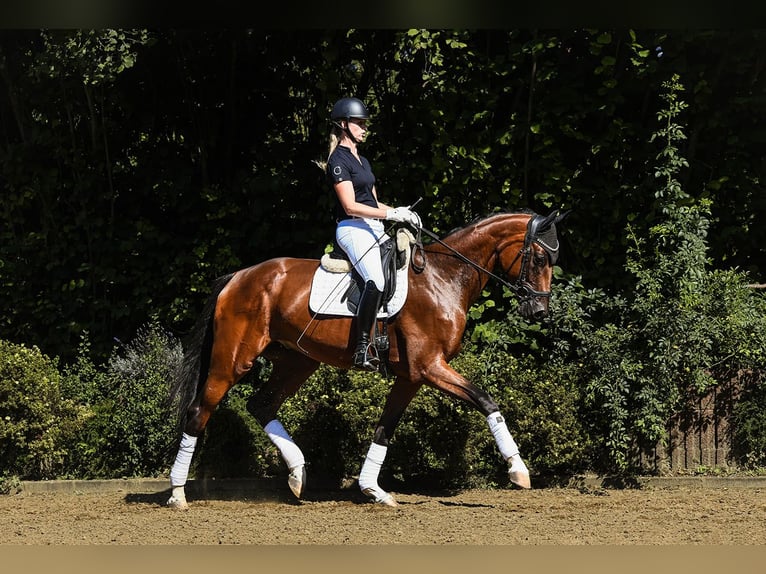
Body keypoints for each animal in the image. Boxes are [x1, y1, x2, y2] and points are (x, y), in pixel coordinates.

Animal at [165, 209, 568, 510]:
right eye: (539, 258)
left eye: (553, 259)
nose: (539, 311)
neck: (444, 277)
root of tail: (239, 277)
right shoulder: (430, 367)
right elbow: (486, 400)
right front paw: (518, 469)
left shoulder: (412, 376)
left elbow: (384, 428)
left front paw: (373, 490)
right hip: (233, 360)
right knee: (199, 412)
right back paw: (177, 494)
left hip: (297, 361)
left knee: (261, 404)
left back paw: (297, 475)